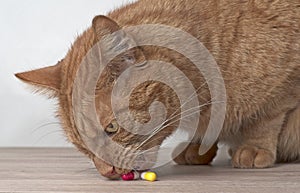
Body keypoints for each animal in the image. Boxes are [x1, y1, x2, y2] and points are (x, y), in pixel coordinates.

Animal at [15, 0, 298, 179]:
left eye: (112, 128)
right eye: (81, 145)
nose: (106, 172)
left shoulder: (284, 87)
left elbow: (266, 118)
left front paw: (254, 146)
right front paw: (198, 147)